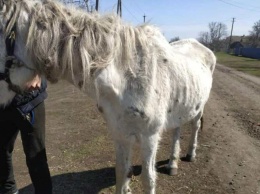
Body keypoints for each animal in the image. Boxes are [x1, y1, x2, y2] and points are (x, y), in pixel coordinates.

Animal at [0, 0, 215, 193]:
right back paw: (172, 164)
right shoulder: (120, 134)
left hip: (198, 108)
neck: (129, 77)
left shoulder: (150, 137)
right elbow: (121, 174)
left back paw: (190, 154)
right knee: (177, 129)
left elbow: (148, 179)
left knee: (194, 126)